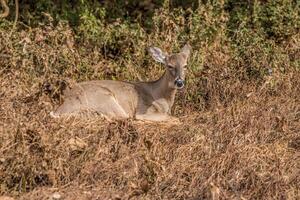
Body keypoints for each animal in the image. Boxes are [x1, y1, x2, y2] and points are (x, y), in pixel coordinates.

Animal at [50, 43, 192, 122]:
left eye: (185, 65)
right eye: (169, 66)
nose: (179, 82)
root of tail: (60, 108)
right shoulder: (143, 111)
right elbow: (176, 119)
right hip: (105, 98)